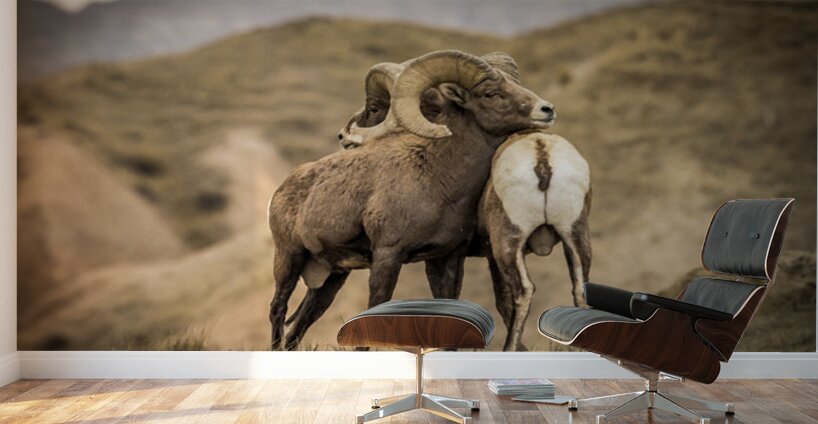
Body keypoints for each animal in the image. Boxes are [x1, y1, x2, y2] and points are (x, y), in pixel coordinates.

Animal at [268, 50, 555, 350]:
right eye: (490, 93)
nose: (546, 110)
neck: (438, 179)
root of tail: (285, 185)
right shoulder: (388, 255)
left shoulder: (446, 259)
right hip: (288, 258)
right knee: (278, 309)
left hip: (332, 278)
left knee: (300, 325)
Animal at [335, 61, 591, 352]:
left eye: (377, 108)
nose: (344, 136)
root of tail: (541, 153)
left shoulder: (456, 254)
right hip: (574, 236)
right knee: (581, 291)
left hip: (509, 243)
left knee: (524, 291)